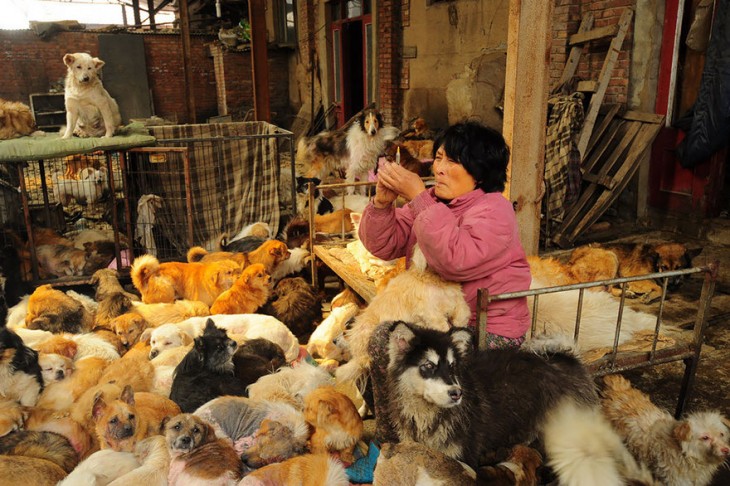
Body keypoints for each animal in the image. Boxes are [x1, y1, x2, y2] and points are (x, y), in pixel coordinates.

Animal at [384, 320, 652, 484]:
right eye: (428, 366)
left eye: (452, 367)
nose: (456, 393)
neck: (428, 415)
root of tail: (568, 360)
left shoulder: (464, 458)